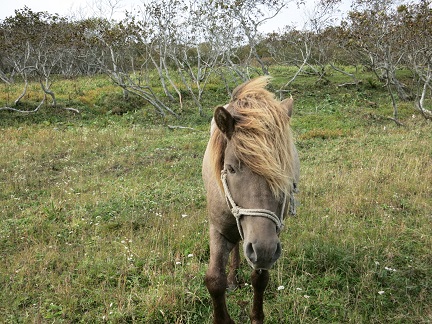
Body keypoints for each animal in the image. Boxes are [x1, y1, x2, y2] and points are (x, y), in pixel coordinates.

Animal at [202, 76, 300, 324]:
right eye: (230, 168)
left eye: (284, 169)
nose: (262, 249)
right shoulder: (218, 228)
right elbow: (214, 280)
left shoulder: (269, 239)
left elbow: (260, 278)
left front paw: (256, 317)